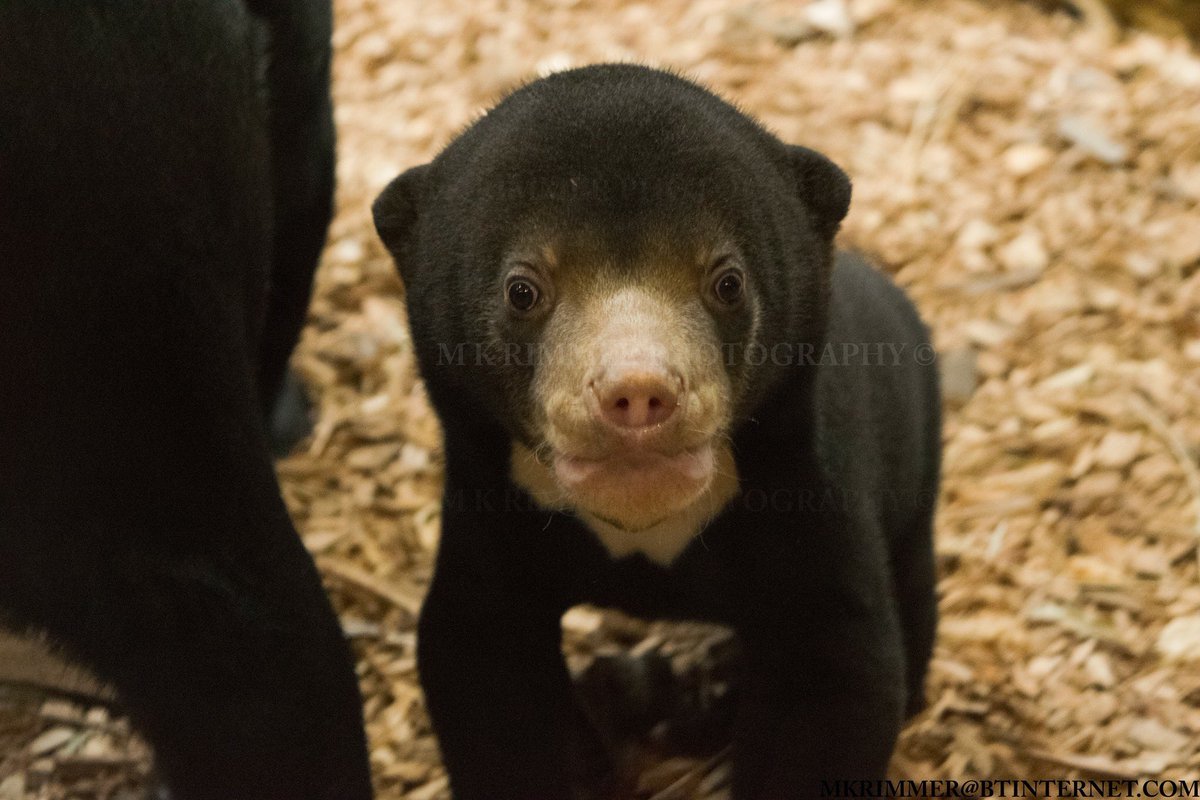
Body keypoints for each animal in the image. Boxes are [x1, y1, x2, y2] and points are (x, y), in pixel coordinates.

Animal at [373, 63, 941, 799]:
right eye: (523, 290)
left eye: (727, 282)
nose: (639, 391)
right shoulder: (489, 514)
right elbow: (485, 667)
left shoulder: (809, 495)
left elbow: (836, 672)